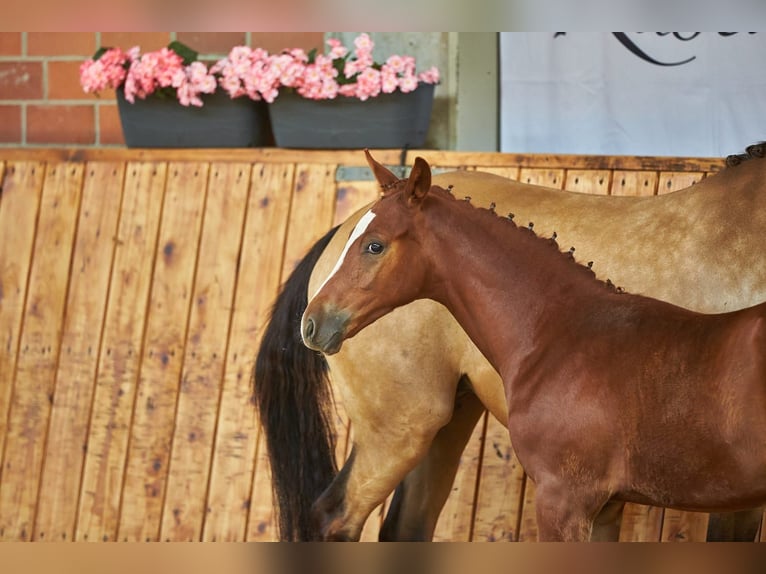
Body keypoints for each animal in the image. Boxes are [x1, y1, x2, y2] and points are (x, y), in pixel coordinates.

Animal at [254, 146, 766, 541]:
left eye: (375, 245)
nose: (313, 323)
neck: (566, 329)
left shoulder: (577, 501)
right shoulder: (584, 501)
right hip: (404, 427)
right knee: (338, 518)